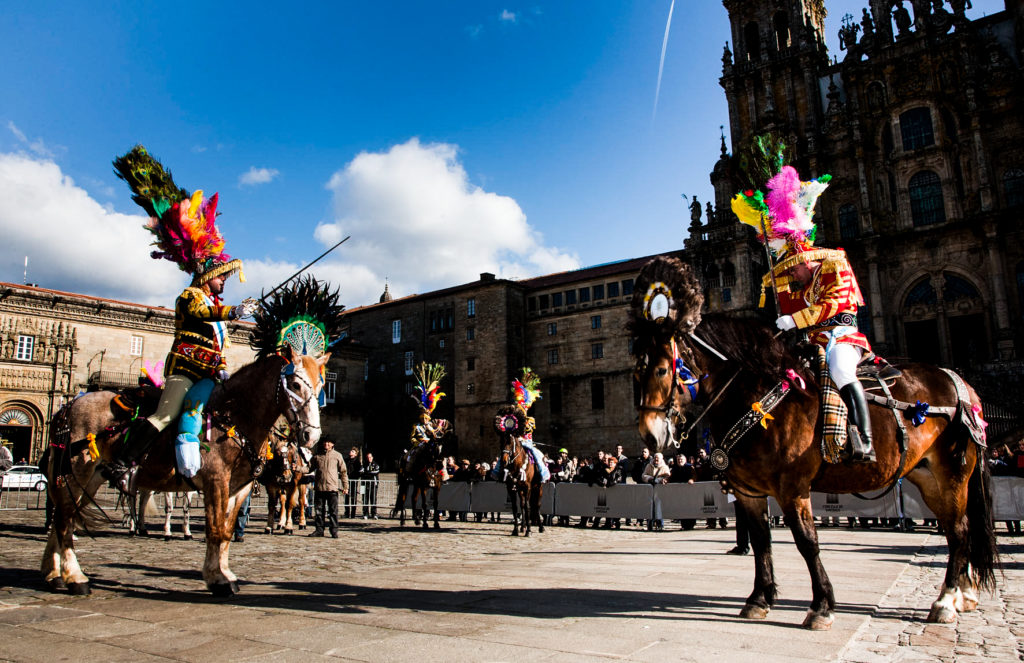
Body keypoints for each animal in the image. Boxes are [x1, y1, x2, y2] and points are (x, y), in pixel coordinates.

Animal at [39, 348, 325, 598]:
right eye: (296, 385)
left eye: (320, 388)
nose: (311, 436)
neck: (234, 416)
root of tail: (68, 408)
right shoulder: (215, 479)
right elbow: (215, 530)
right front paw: (219, 580)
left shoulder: (239, 488)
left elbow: (226, 530)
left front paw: (222, 574)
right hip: (78, 470)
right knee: (64, 519)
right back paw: (76, 578)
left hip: (89, 478)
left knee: (64, 515)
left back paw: (54, 574)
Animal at [493, 403, 544, 541]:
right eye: (500, 441)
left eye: (510, 442)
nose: (504, 461)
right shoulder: (511, 488)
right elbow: (516, 508)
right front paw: (516, 530)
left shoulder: (528, 487)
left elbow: (528, 507)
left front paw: (529, 531)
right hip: (520, 489)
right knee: (522, 505)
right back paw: (523, 527)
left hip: (538, 487)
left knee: (536, 505)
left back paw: (540, 527)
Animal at [626, 257, 995, 631]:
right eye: (635, 373)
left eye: (661, 370)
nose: (651, 435)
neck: (755, 396)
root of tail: (959, 382)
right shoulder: (748, 491)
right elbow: (761, 541)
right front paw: (758, 599)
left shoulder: (792, 488)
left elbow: (807, 542)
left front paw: (821, 606)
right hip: (927, 476)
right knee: (959, 529)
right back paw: (963, 595)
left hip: (953, 473)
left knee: (959, 529)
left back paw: (946, 600)